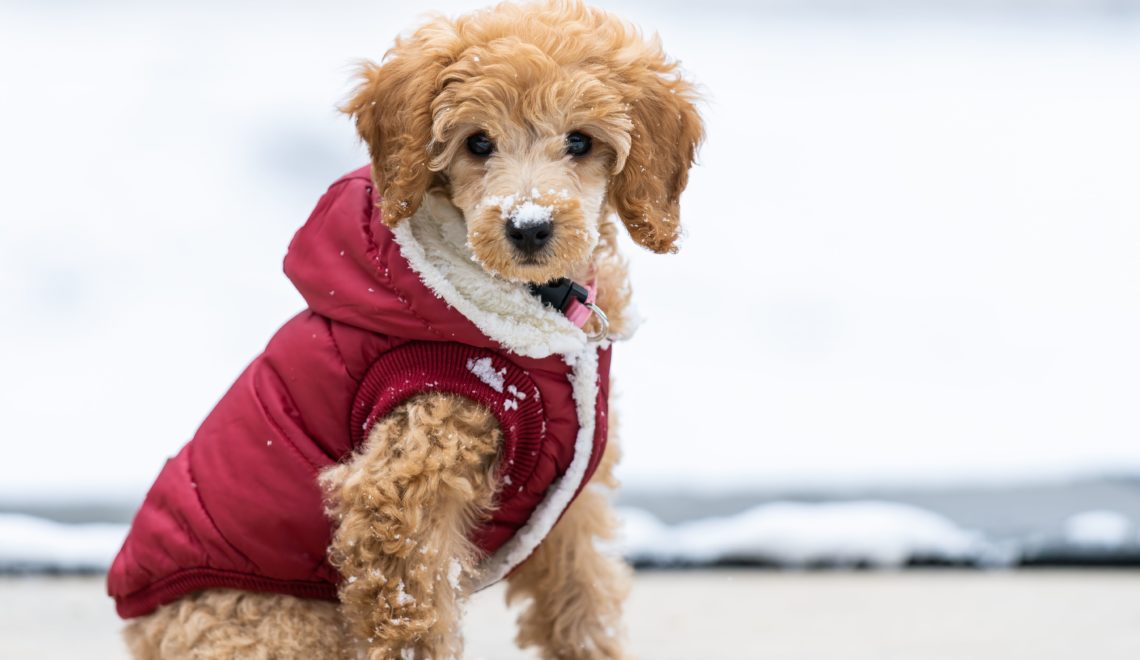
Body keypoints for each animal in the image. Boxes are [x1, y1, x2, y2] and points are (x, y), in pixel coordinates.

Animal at [107, 2, 697, 656]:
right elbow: (414, 623)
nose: (528, 226)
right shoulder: (404, 486)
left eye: (580, 141)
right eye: (477, 142)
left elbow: (582, 600)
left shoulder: (570, 505)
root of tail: (141, 621)